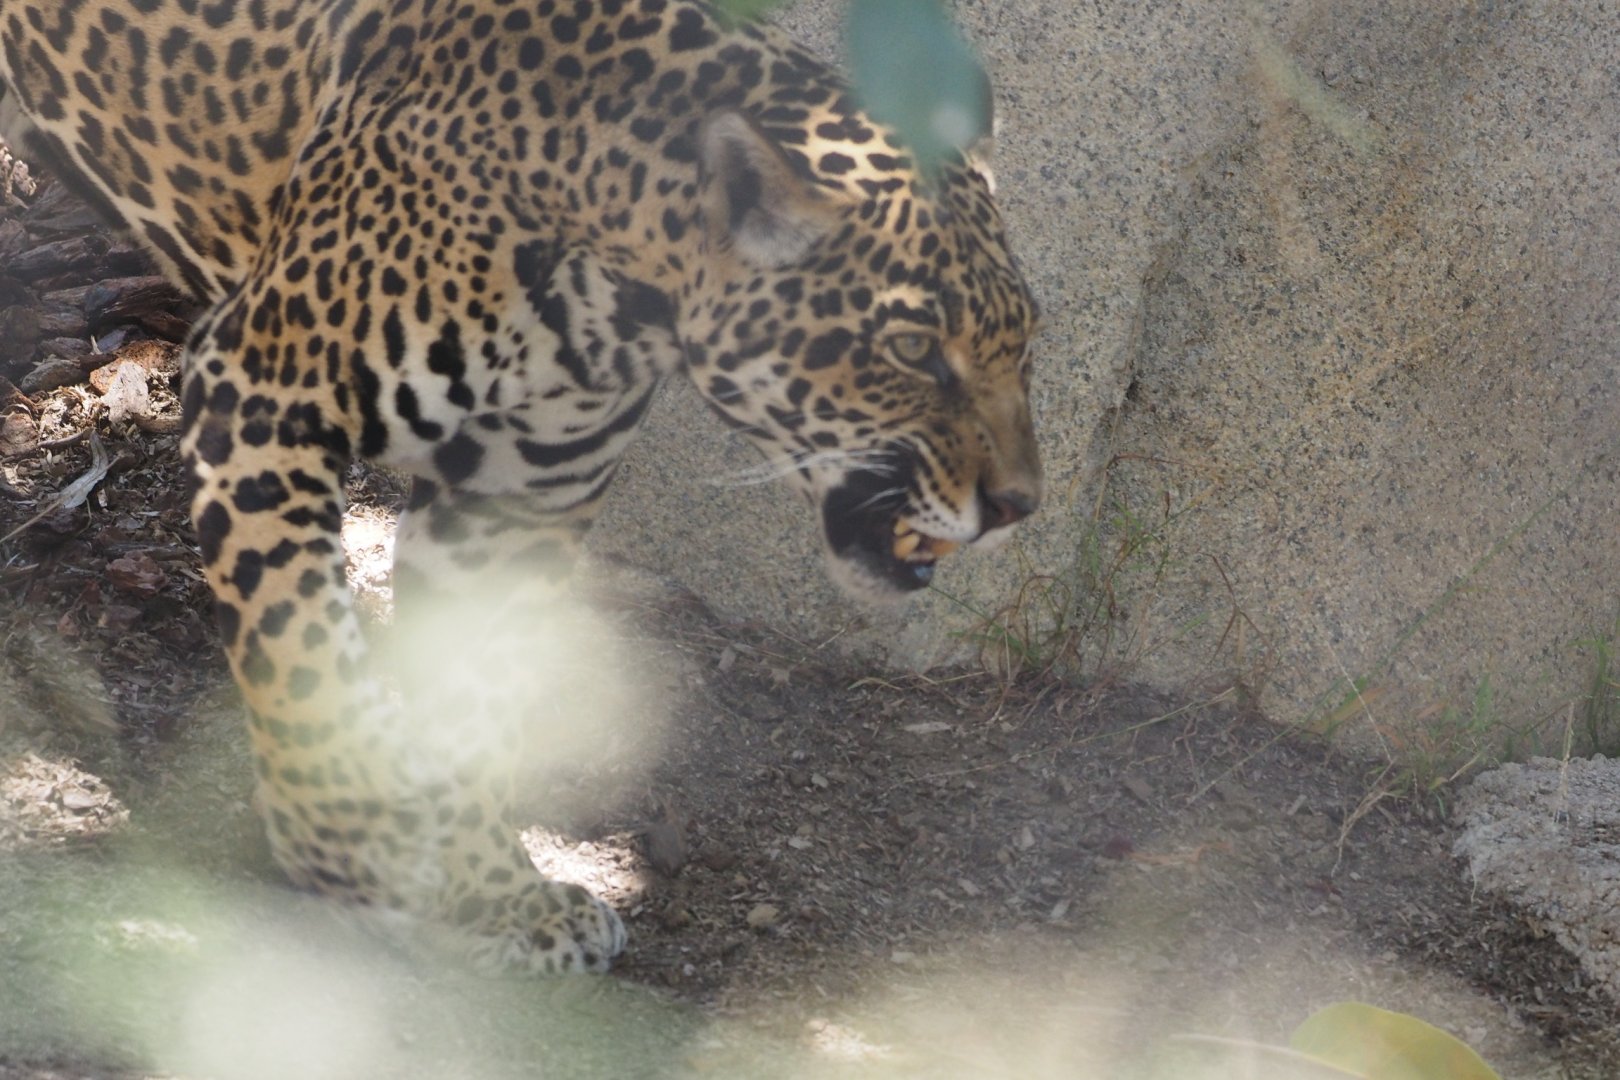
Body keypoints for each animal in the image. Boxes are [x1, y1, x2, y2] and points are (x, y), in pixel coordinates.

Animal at [0, 0, 1041, 973]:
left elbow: (480, 700)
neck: (620, 284)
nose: (1018, 504)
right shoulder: (260, 388)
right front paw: (349, 839)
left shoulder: (522, 500)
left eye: (1024, 342)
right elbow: (300, 641)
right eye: (912, 350)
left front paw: (491, 893)